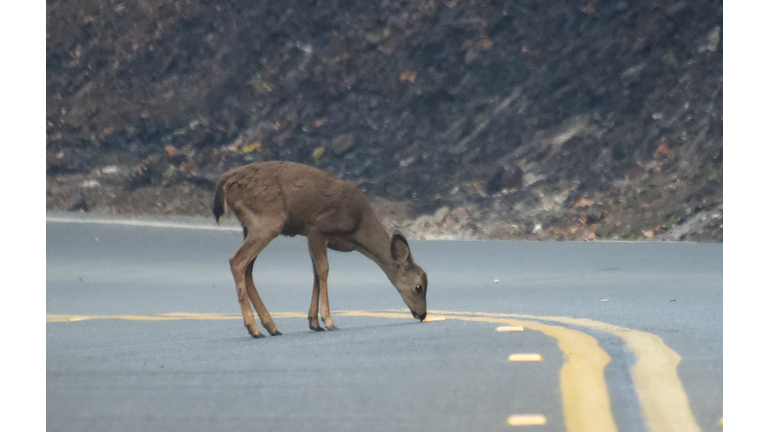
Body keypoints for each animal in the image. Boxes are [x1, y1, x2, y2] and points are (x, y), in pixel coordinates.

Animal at [213, 160, 428, 340]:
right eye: (419, 287)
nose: (423, 314)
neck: (357, 229)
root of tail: (225, 180)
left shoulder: (314, 236)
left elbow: (315, 273)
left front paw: (314, 322)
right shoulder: (317, 228)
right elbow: (323, 270)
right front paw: (329, 321)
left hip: (249, 226)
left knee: (248, 268)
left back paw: (271, 327)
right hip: (268, 222)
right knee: (237, 260)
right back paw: (253, 328)